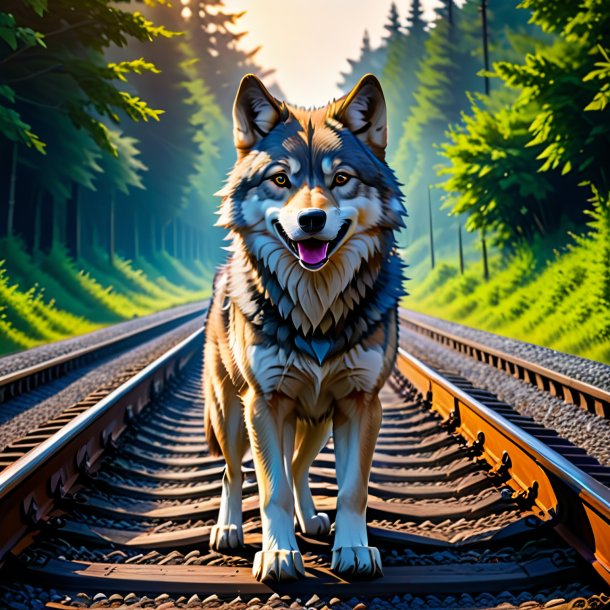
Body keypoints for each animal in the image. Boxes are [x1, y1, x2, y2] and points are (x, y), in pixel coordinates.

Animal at [202, 73, 406, 580]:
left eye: (340, 179)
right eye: (281, 179)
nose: (311, 219)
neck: (315, 311)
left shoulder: (360, 404)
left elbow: (352, 490)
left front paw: (354, 550)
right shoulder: (265, 403)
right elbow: (269, 490)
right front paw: (278, 556)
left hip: (317, 420)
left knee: (296, 465)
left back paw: (311, 520)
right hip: (231, 411)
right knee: (234, 471)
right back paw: (228, 529)